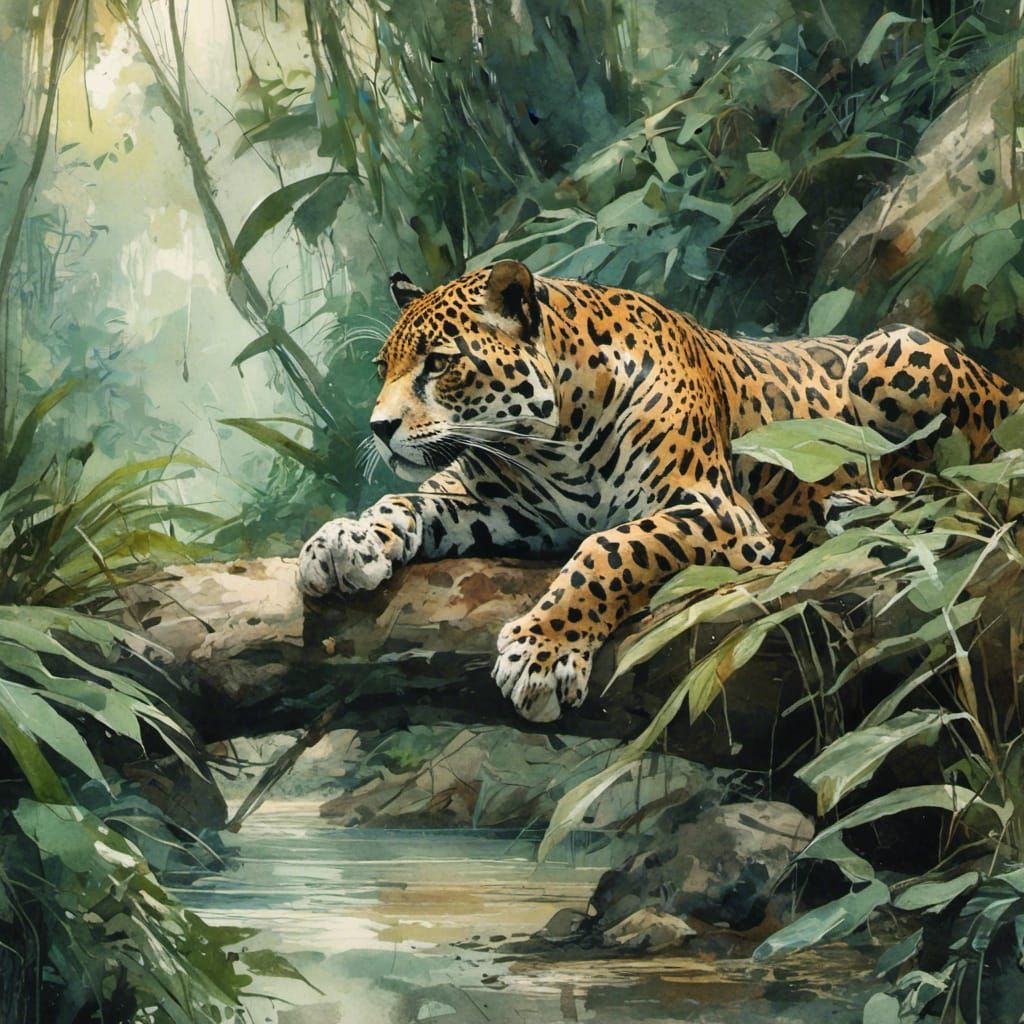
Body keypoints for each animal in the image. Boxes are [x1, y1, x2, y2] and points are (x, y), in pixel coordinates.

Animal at [298, 260, 1023, 723]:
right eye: (384, 368)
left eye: (440, 364)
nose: (378, 428)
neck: (548, 442)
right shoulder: (493, 506)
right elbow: (405, 502)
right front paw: (340, 542)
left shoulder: (715, 510)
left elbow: (612, 547)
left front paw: (542, 654)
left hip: (887, 349)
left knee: (965, 482)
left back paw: (853, 507)